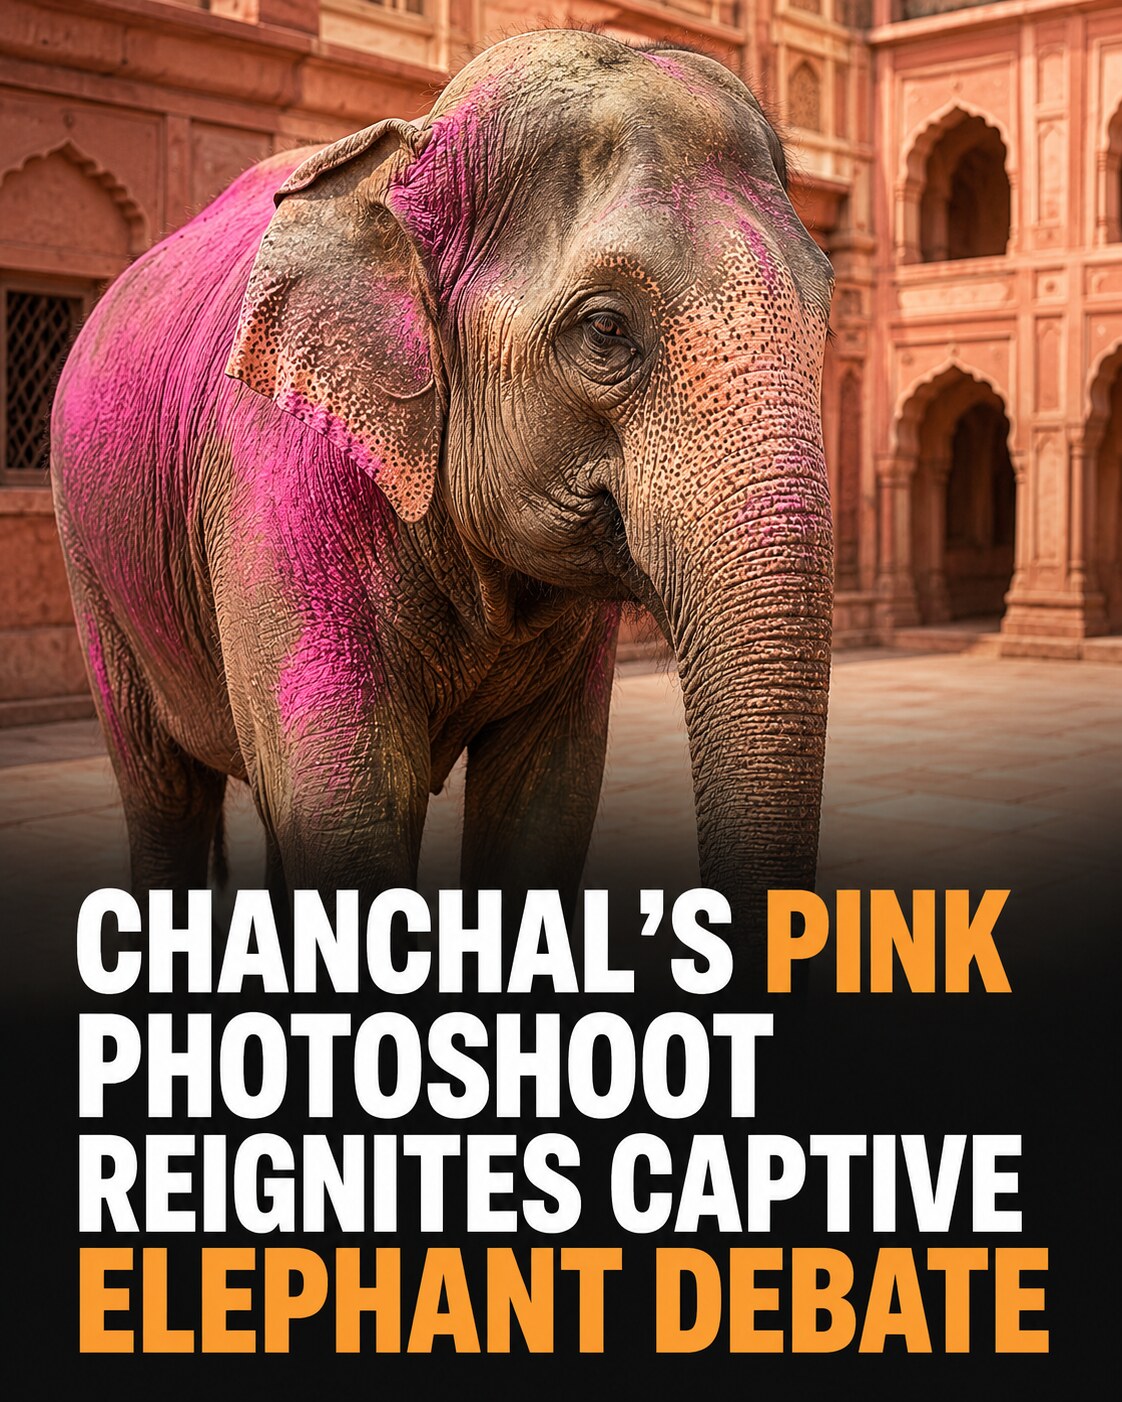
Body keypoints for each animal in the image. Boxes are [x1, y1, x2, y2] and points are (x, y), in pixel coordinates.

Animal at [50, 29, 834, 937]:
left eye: (825, 313)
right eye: (605, 329)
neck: (407, 154)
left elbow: (547, 802)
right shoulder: (276, 483)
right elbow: (347, 808)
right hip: (94, 567)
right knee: (163, 793)